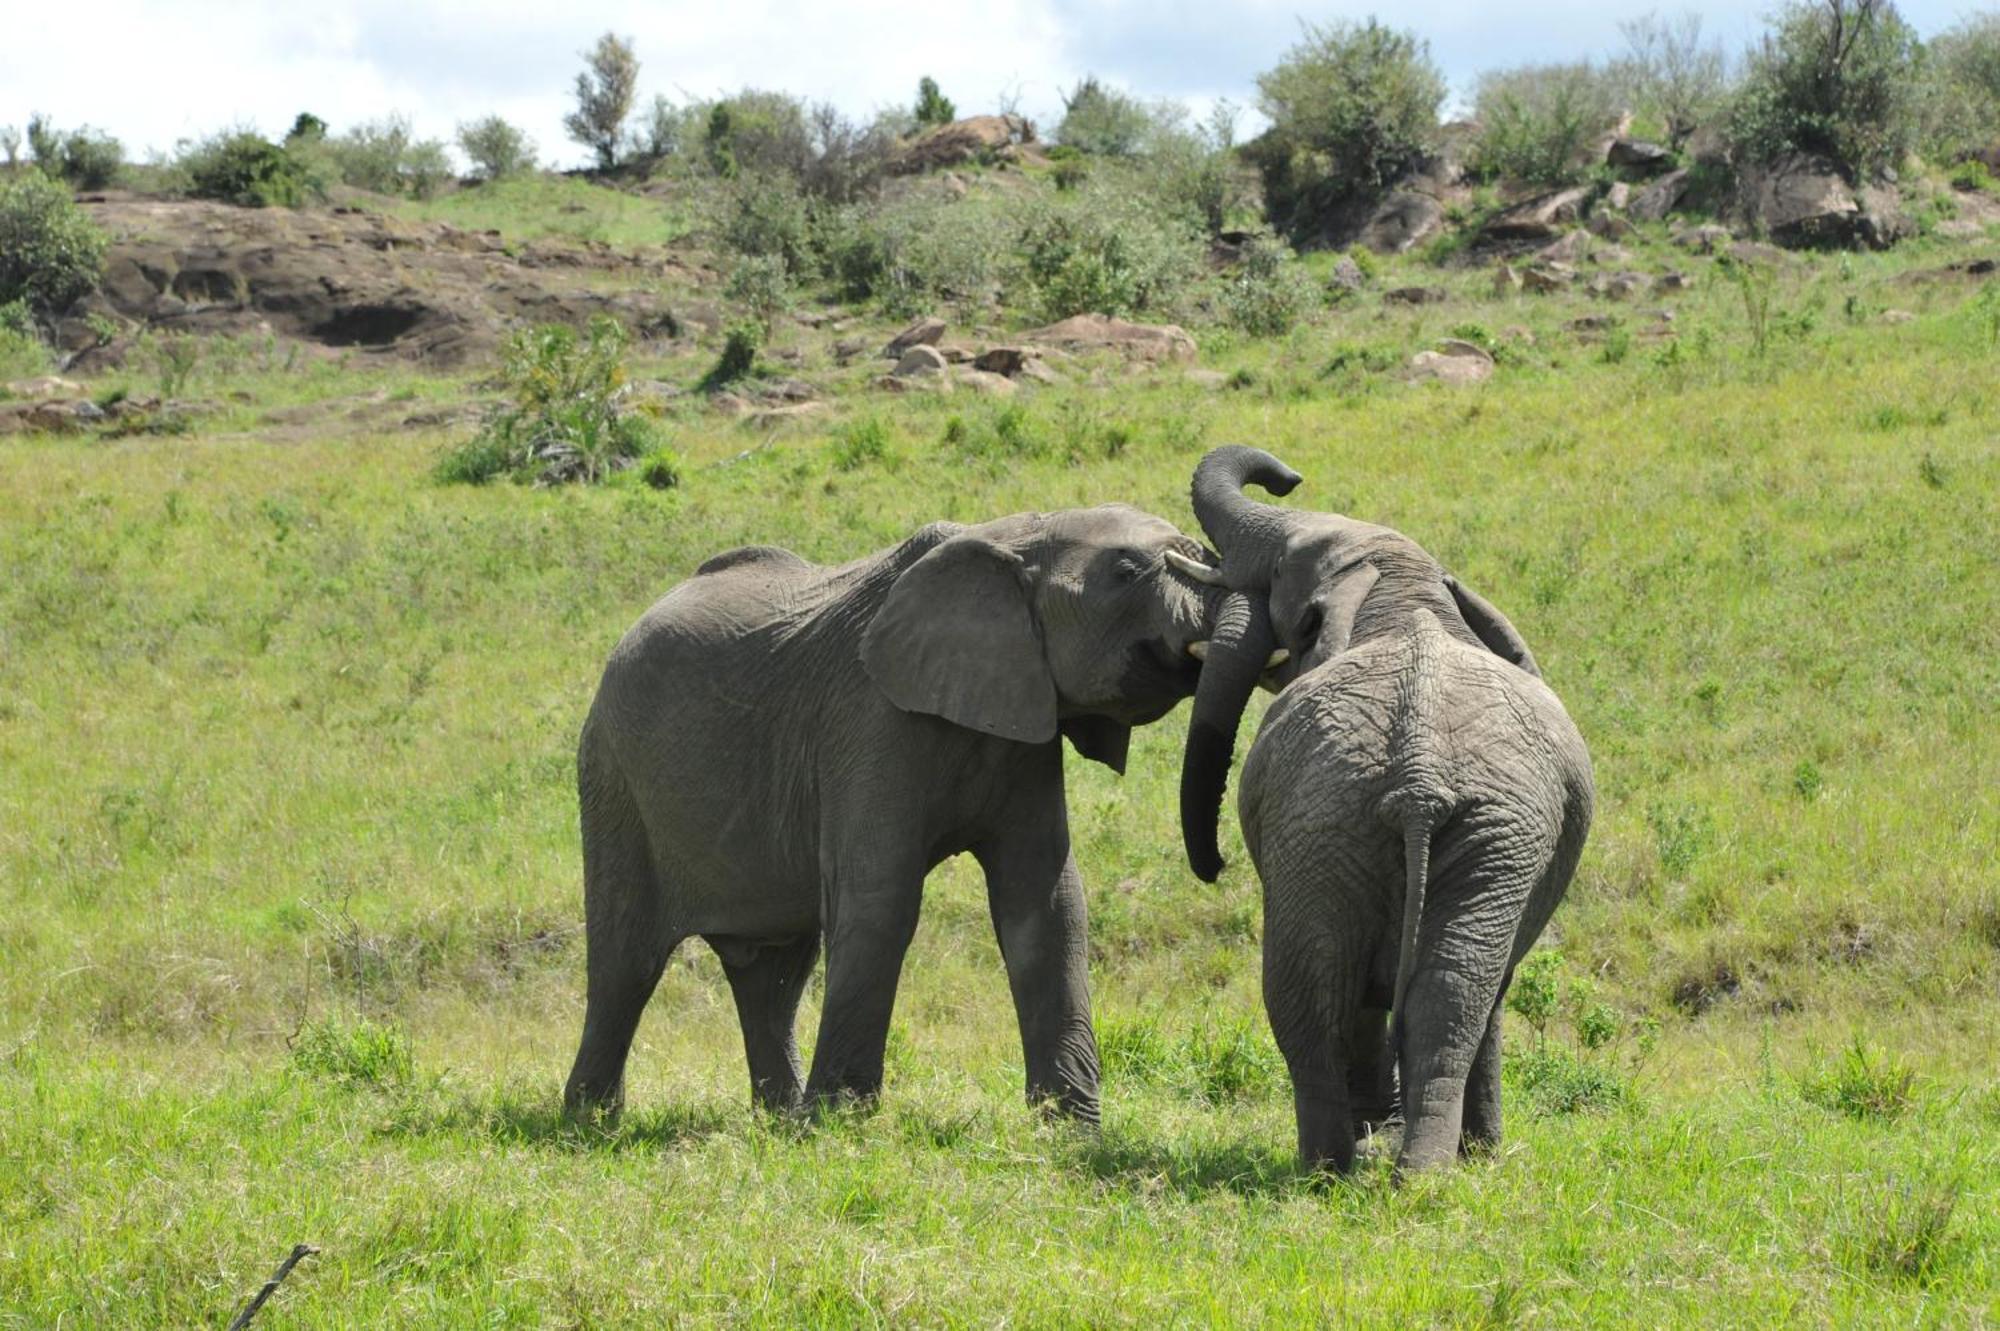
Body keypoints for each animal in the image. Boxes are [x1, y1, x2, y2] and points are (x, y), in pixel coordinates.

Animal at [556, 503, 1224, 1127]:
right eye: (1126, 572)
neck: (1010, 538)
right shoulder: (870, 719)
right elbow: (881, 898)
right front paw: (839, 1124)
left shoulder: (1025, 724)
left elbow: (1046, 903)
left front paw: (1070, 1131)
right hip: (614, 774)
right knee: (626, 960)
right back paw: (591, 1124)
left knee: (773, 974)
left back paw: (776, 1121)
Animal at [1176, 447, 1584, 1175]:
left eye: (1278, 573)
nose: (1289, 477)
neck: (1403, 589)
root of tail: (1419, 775)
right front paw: (1472, 1151)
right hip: (1426, 829)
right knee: (1432, 994)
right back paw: (1406, 1172)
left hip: (1419, 828)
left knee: (1325, 992)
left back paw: (1344, 1168)